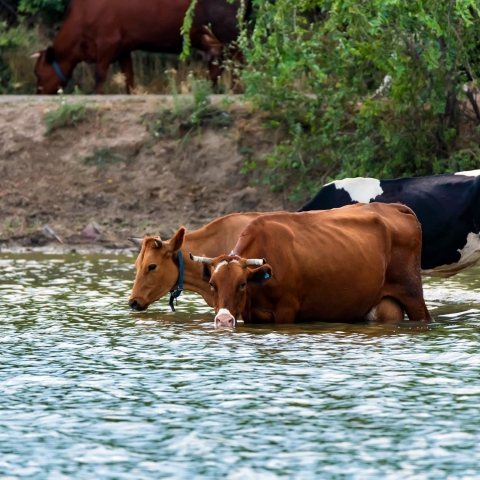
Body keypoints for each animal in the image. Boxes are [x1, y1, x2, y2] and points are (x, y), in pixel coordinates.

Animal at [31, 0, 248, 94]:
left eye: (38, 73)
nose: (38, 92)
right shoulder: (122, 48)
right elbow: (128, 76)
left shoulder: (107, 42)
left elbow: (100, 74)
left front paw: (94, 95)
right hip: (211, 38)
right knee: (217, 66)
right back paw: (212, 89)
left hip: (229, 32)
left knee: (239, 61)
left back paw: (236, 90)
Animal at [192, 204, 436, 328]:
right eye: (212, 284)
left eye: (242, 284)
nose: (224, 320)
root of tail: (394, 207)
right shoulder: (250, 313)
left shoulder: (286, 310)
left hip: (412, 294)